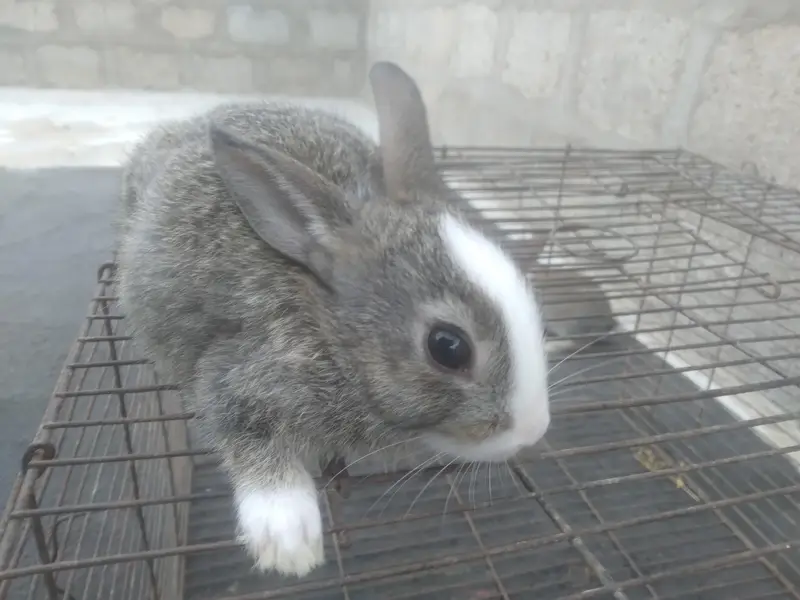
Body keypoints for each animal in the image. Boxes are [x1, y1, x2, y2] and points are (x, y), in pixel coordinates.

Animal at [115, 61, 550, 578]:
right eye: (448, 347)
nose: (532, 432)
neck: (327, 328)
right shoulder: (237, 370)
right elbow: (249, 437)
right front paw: (288, 542)